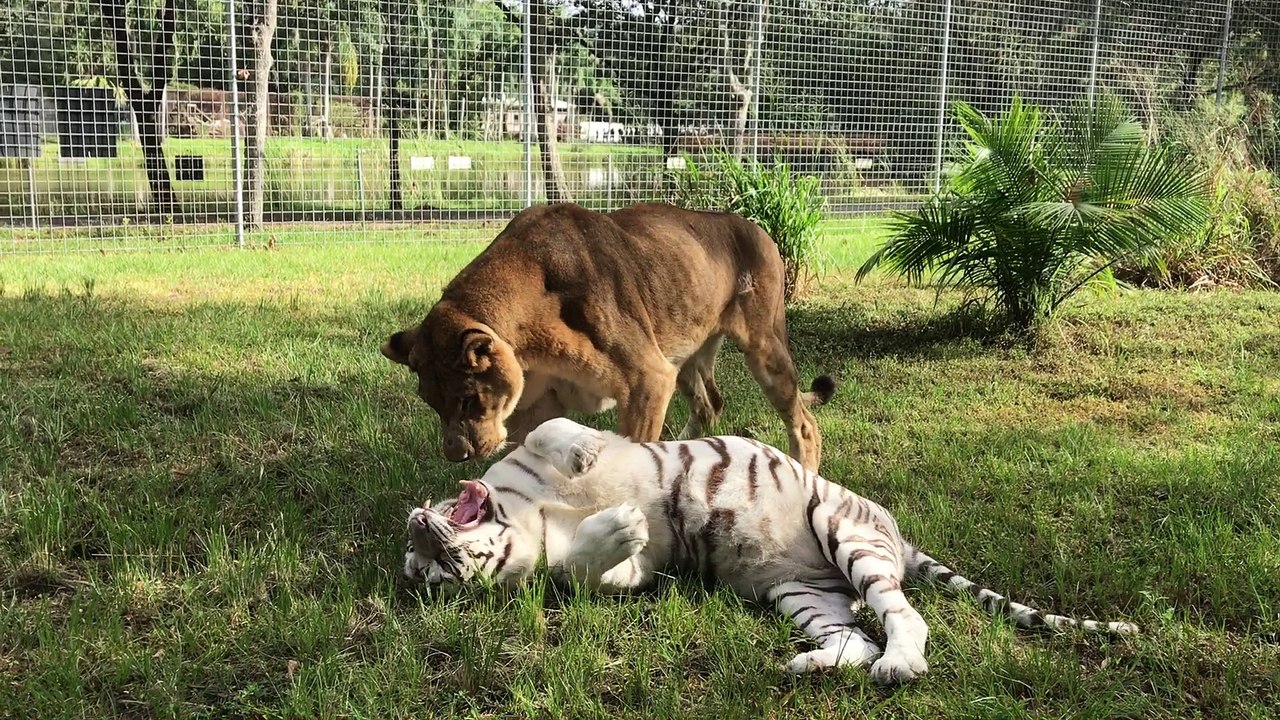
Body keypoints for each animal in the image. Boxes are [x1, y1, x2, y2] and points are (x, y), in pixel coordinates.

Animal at [381, 202, 837, 471]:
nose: (456, 454)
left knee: (805, 423)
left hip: (762, 346)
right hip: (683, 353)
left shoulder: (647, 379)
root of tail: (754, 227)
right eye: (431, 402)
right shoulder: (536, 408)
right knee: (709, 404)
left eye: (468, 399)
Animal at [402, 417, 1137, 685]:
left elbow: (548, 428)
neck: (526, 520)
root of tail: (898, 537)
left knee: (903, 617)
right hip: (802, 593)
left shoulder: (533, 454)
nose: (417, 531)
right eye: (435, 575)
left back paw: (897, 665)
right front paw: (622, 530)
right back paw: (809, 664)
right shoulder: (631, 571)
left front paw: (582, 459)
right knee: (857, 638)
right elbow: (592, 572)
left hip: (842, 531)